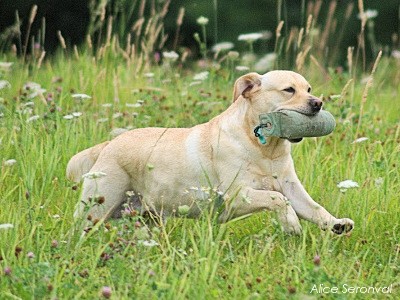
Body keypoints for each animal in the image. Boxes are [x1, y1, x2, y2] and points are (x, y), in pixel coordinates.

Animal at [67, 70, 354, 234]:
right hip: (95, 208)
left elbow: (313, 207)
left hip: (145, 218)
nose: (318, 103)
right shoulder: (237, 195)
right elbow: (276, 198)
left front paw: (336, 223)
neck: (264, 149)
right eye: (289, 90)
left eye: (309, 89)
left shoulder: (292, 187)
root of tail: (108, 145)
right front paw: (291, 223)